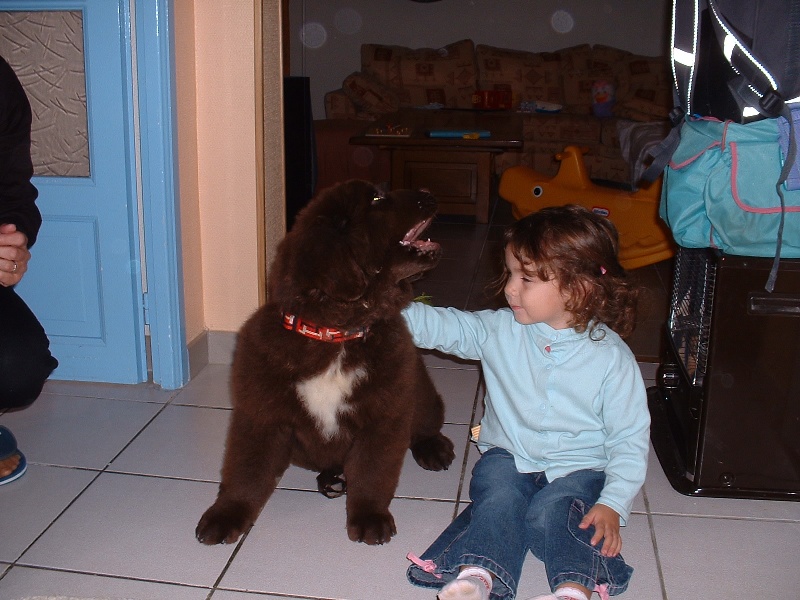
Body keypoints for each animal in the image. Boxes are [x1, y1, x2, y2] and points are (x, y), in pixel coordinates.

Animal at [196, 180, 455, 546]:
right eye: (377, 198)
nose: (429, 193)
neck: (335, 336)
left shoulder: (384, 413)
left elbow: (373, 471)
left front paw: (369, 517)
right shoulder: (260, 415)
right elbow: (246, 471)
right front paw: (227, 514)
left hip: (419, 389)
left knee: (426, 421)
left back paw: (433, 447)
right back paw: (331, 478)